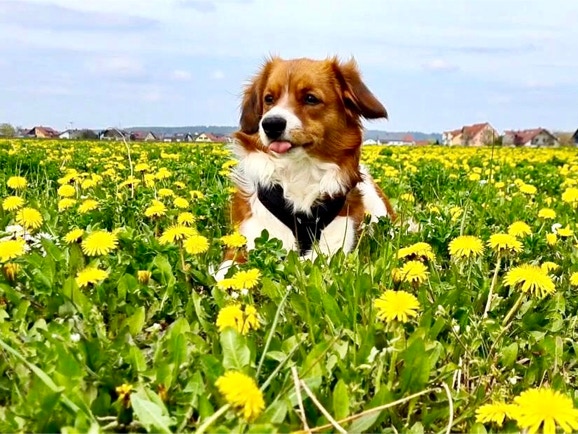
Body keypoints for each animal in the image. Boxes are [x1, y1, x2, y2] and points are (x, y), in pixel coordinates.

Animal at [218, 56, 395, 276]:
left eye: (310, 98)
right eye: (269, 99)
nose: (271, 124)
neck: (299, 170)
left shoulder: (332, 248)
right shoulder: (246, 240)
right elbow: (227, 274)